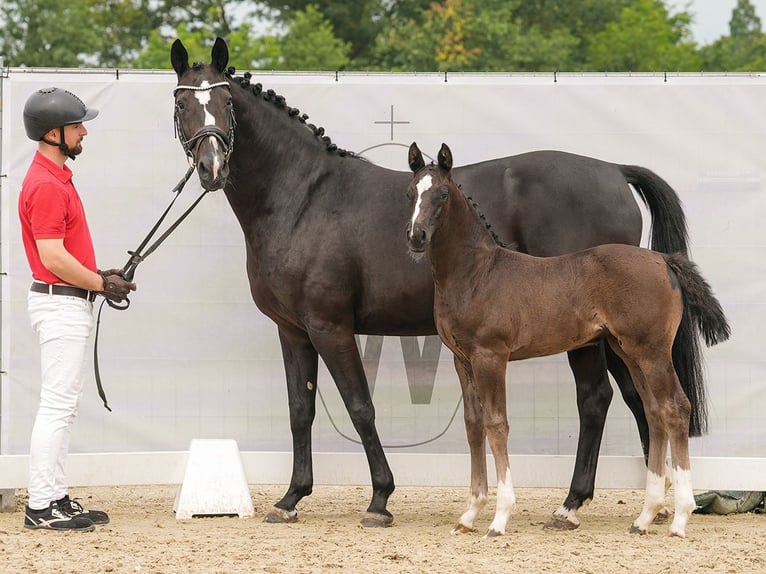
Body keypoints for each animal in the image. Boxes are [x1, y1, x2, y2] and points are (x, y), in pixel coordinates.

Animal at [408, 144, 732, 540]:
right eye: (409, 193)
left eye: (441, 194)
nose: (416, 237)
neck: (477, 273)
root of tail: (663, 260)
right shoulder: (462, 360)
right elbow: (473, 425)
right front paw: (469, 514)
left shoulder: (491, 356)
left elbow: (496, 425)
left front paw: (499, 519)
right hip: (628, 350)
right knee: (654, 411)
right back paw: (644, 516)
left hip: (652, 350)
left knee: (676, 408)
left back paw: (680, 517)